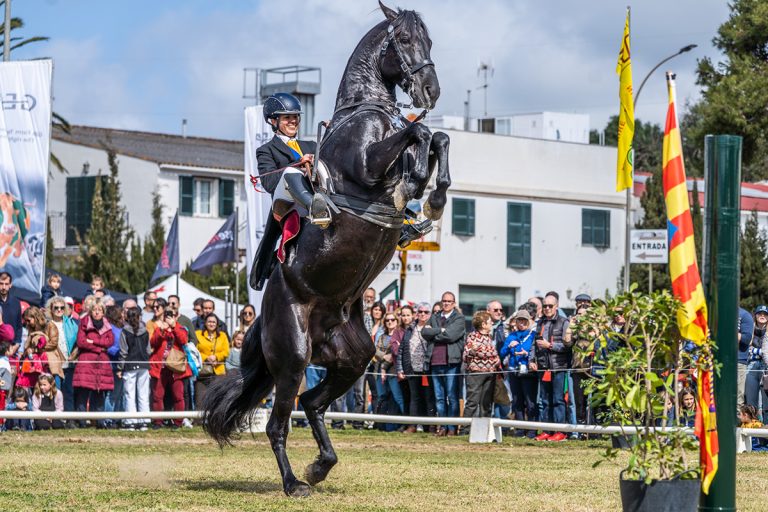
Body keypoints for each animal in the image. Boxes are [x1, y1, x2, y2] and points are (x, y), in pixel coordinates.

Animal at [203, 1, 450, 497]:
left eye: (429, 40)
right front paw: (421, 192)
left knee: (313, 403)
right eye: (404, 40)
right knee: (278, 423)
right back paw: (295, 482)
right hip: (294, 355)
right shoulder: (369, 164)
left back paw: (321, 466)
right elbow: (419, 138)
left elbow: (436, 139)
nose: (430, 91)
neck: (367, 110)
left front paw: (430, 199)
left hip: (354, 357)